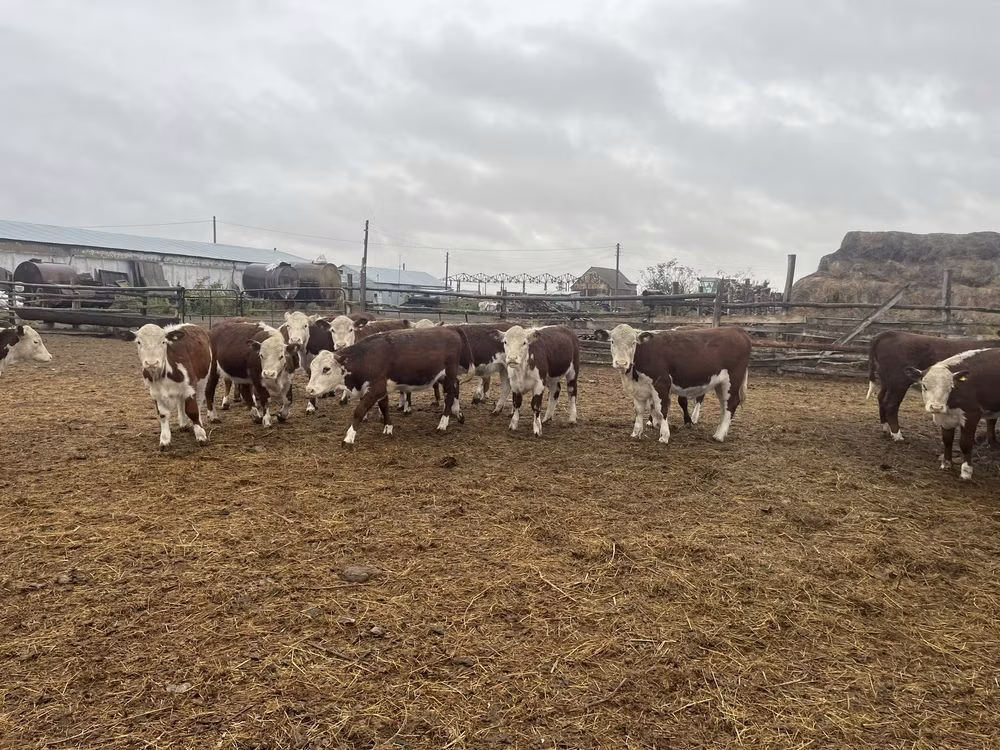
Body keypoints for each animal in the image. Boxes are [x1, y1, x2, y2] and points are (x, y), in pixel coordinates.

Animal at [305, 326, 472, 445]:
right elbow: (384, 407)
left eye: (326, 368)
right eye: (312, 368)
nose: (309, 389)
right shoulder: (381, 390)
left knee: (449, 395)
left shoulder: (376, 388)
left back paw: (443, 423)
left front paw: (349, 438)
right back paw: (459, 414)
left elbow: (359, 411)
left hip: (449, 373)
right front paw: (388, 428)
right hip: (443, 376)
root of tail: (450, 329)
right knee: (456, 387)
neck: (366, 358)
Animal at [598, 324, 751, 443]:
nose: (621, 363)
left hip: (732, 380)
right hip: (720, 384)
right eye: (612, 341)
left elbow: (662, 409)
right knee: (724, 406)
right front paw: (636, 432)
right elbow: (639, 410)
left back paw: (719, 435)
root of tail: (736, 330)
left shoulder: (661, 384)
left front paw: (664, 435)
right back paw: (720, 431)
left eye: (633, 343)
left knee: (731, 403)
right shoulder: (639, 389)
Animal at [867, 330, 1000, 442]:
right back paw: (897, 435)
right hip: (898, 383)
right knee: (890, 404)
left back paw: (885, 427)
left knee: (881, 398)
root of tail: (890, 333)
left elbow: (991, 420)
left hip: (887, 381)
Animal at [906, 348, 1000, 480]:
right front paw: (946, 463)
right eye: (924, 386)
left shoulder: (972, 414)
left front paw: (966, 471)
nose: (937, 407)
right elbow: (947, 440)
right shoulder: (944, 419)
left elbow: (965, 443)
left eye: (950, 387)